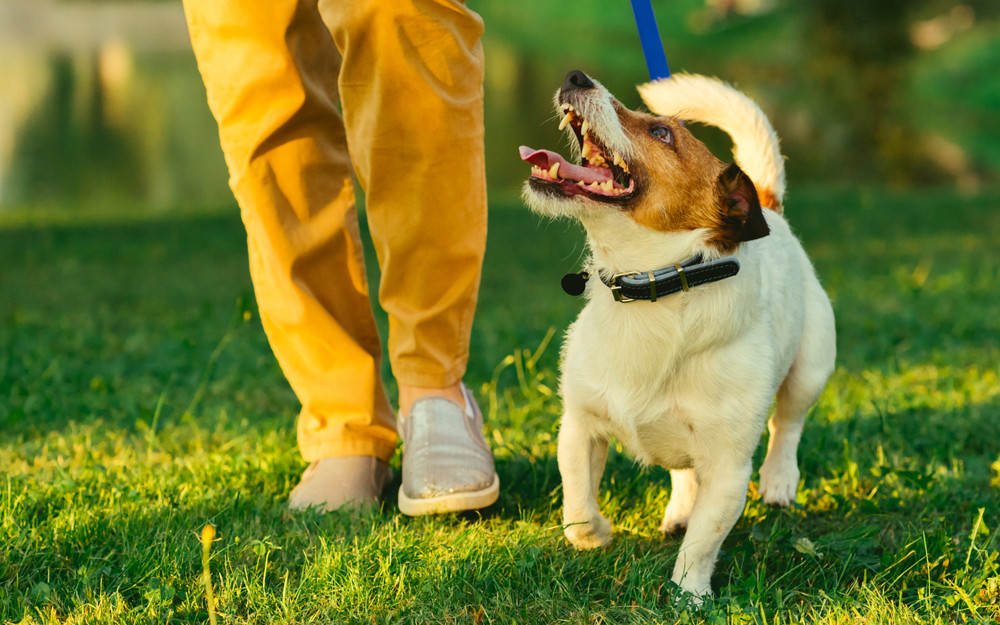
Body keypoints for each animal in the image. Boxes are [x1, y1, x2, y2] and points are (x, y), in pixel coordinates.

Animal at [516, 70, 836, 596]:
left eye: (662, 133)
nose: (576, 76)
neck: (650, 289)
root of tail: (771, 208)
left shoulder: (729, 469)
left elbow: (704, 542)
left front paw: (689, 595)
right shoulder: (580, 424)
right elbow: (578, 500)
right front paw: (595, 534)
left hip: (811, 366)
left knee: (787, 422)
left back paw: (778, 481)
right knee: (686, 474)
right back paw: (680, 511)